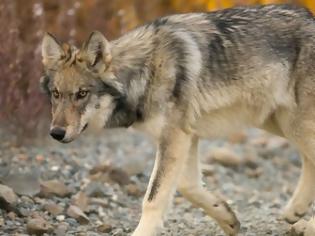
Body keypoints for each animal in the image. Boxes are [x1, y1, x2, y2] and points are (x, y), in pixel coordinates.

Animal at [40, 4, 315, 236]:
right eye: (56, 94)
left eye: (82, 94)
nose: (56, 133)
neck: (145, 71)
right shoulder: (185, 137)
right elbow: (187, 186)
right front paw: (228, 218)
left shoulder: (174, 137)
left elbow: (153, 197)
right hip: (281, 124)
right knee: (307, 160)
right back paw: (296, 210)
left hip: (295, 126)